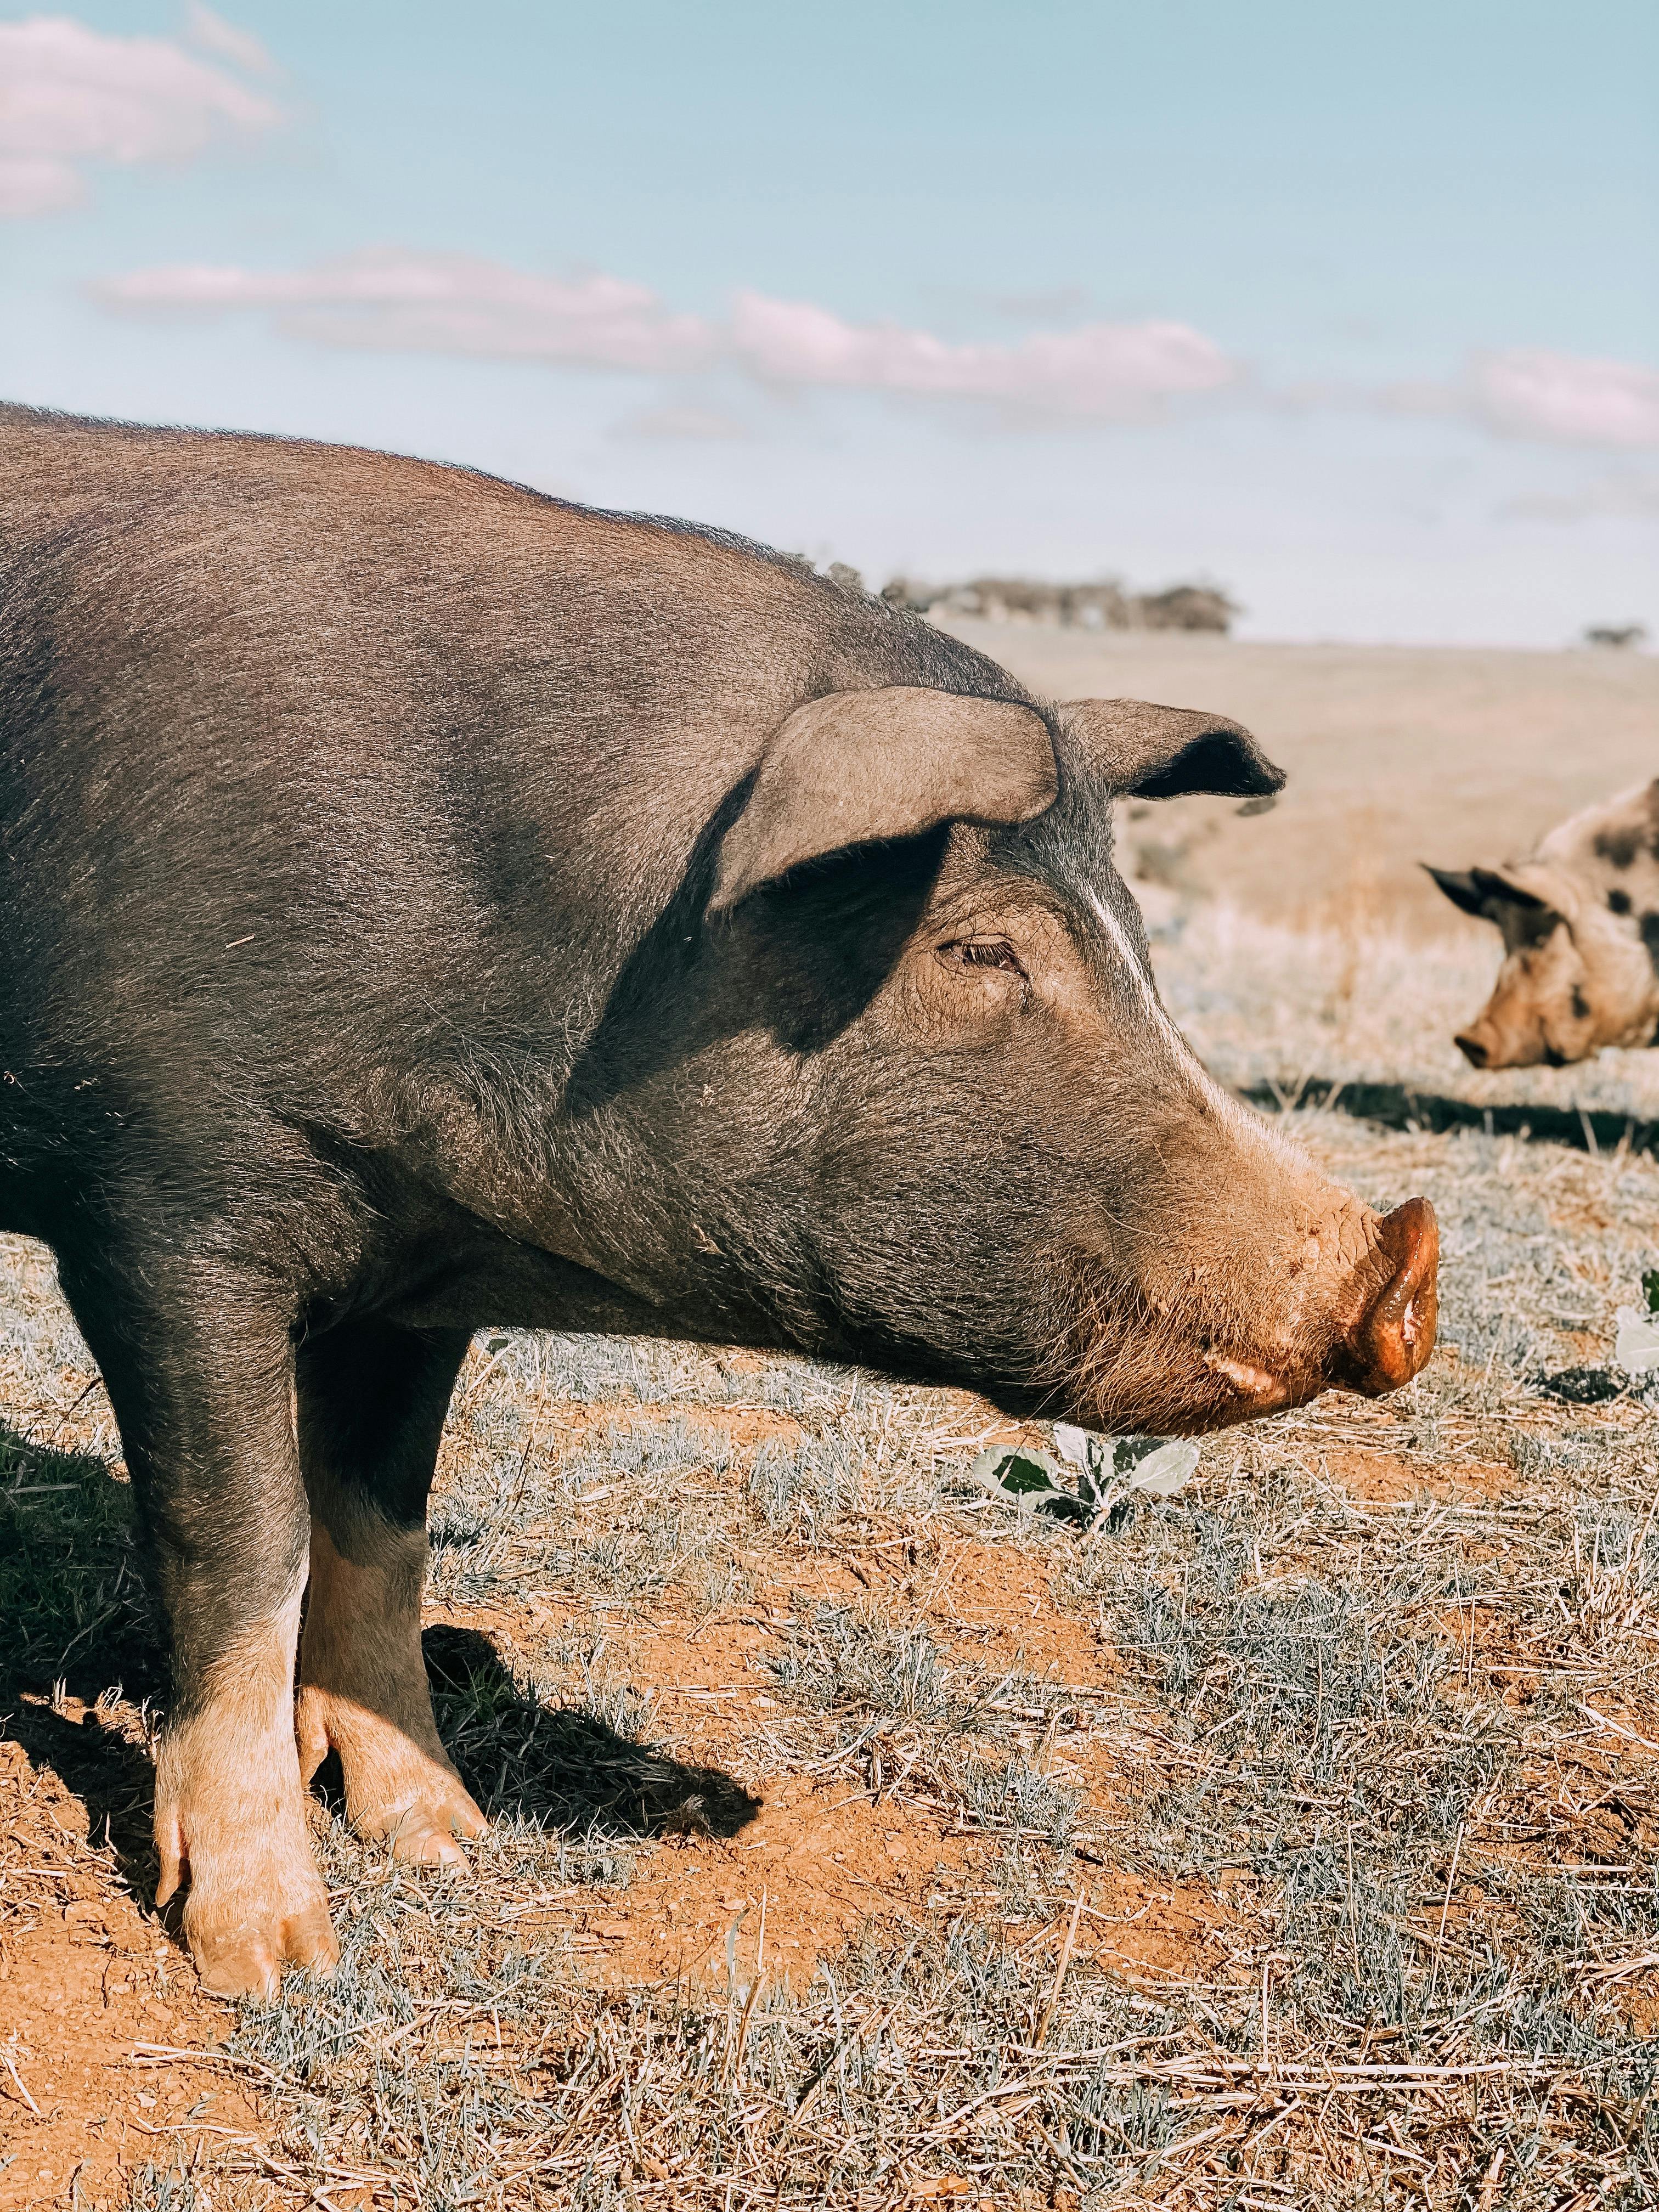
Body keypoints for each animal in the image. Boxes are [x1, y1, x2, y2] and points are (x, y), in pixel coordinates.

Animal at [0, 404, 1437, 1995]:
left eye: (1136, 932)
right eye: (982, 949)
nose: (1405, 1276)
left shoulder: (416, 1270)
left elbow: (382, 1523)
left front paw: (447, 1843)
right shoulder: (164, 1207)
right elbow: (241, 1549)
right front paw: (274, 1961)